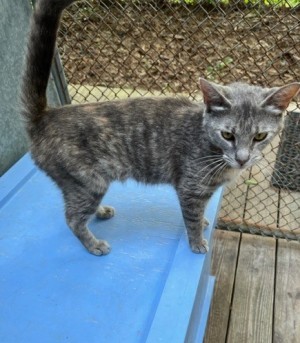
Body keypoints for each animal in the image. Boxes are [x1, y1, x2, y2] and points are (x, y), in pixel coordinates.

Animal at [20, 0, 298, 255]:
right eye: (227, 134)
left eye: (260, 136)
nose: (242, 159)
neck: (208, 145)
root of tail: (44, 116)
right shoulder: (190, 188)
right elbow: (192, 218)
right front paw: (197, 242)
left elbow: (200, 213)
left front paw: (203, 223)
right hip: (86, 183)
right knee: (72, 218)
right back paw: (94, 244)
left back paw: (101, 212)